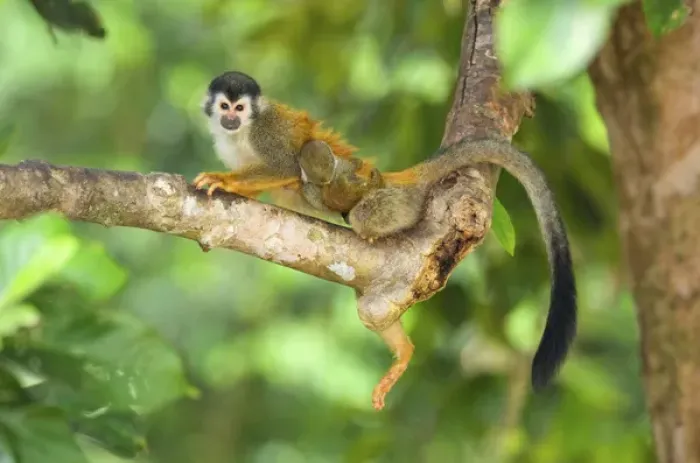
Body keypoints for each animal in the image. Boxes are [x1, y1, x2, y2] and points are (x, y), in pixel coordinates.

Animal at [195, 70, 577, 410]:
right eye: (225, 106)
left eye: (240, 108)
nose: (230, 118)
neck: (242, 134)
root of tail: (401, 178)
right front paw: (235, 184)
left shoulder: (265, 132)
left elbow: (284, 167)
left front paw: (225, 181)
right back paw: (403, 351)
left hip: (391, 201)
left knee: (339, 190)